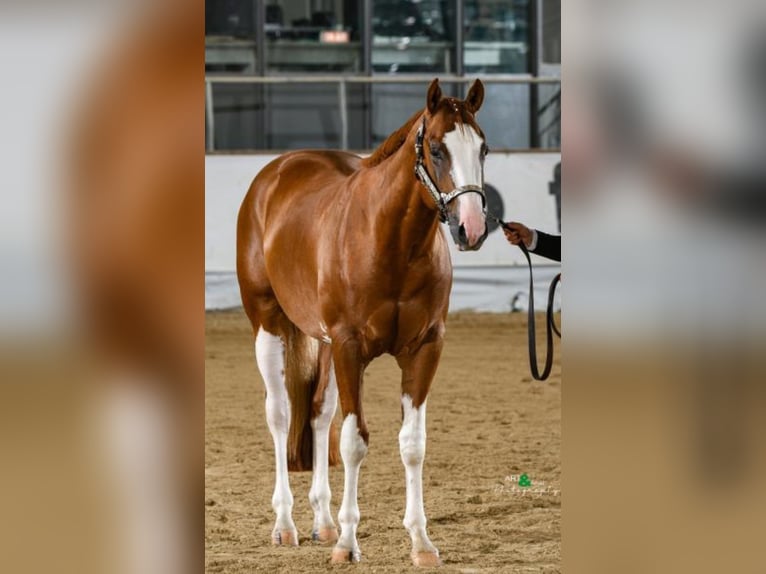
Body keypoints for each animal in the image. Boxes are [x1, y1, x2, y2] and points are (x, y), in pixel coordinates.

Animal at [236, 78, 489, 567]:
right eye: (436, 148)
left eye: (483, 148)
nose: (471, 228)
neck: (390, 242)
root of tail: (274, 173)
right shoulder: (351, 348)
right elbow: (354, 442)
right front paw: (348, 545)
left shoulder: (425, 348)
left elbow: (412, 444)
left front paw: (421, 543)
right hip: (269, 325)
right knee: (280, 415)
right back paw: (286, 525)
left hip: (324, 344)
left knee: (318, 416)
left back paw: (323, 521)